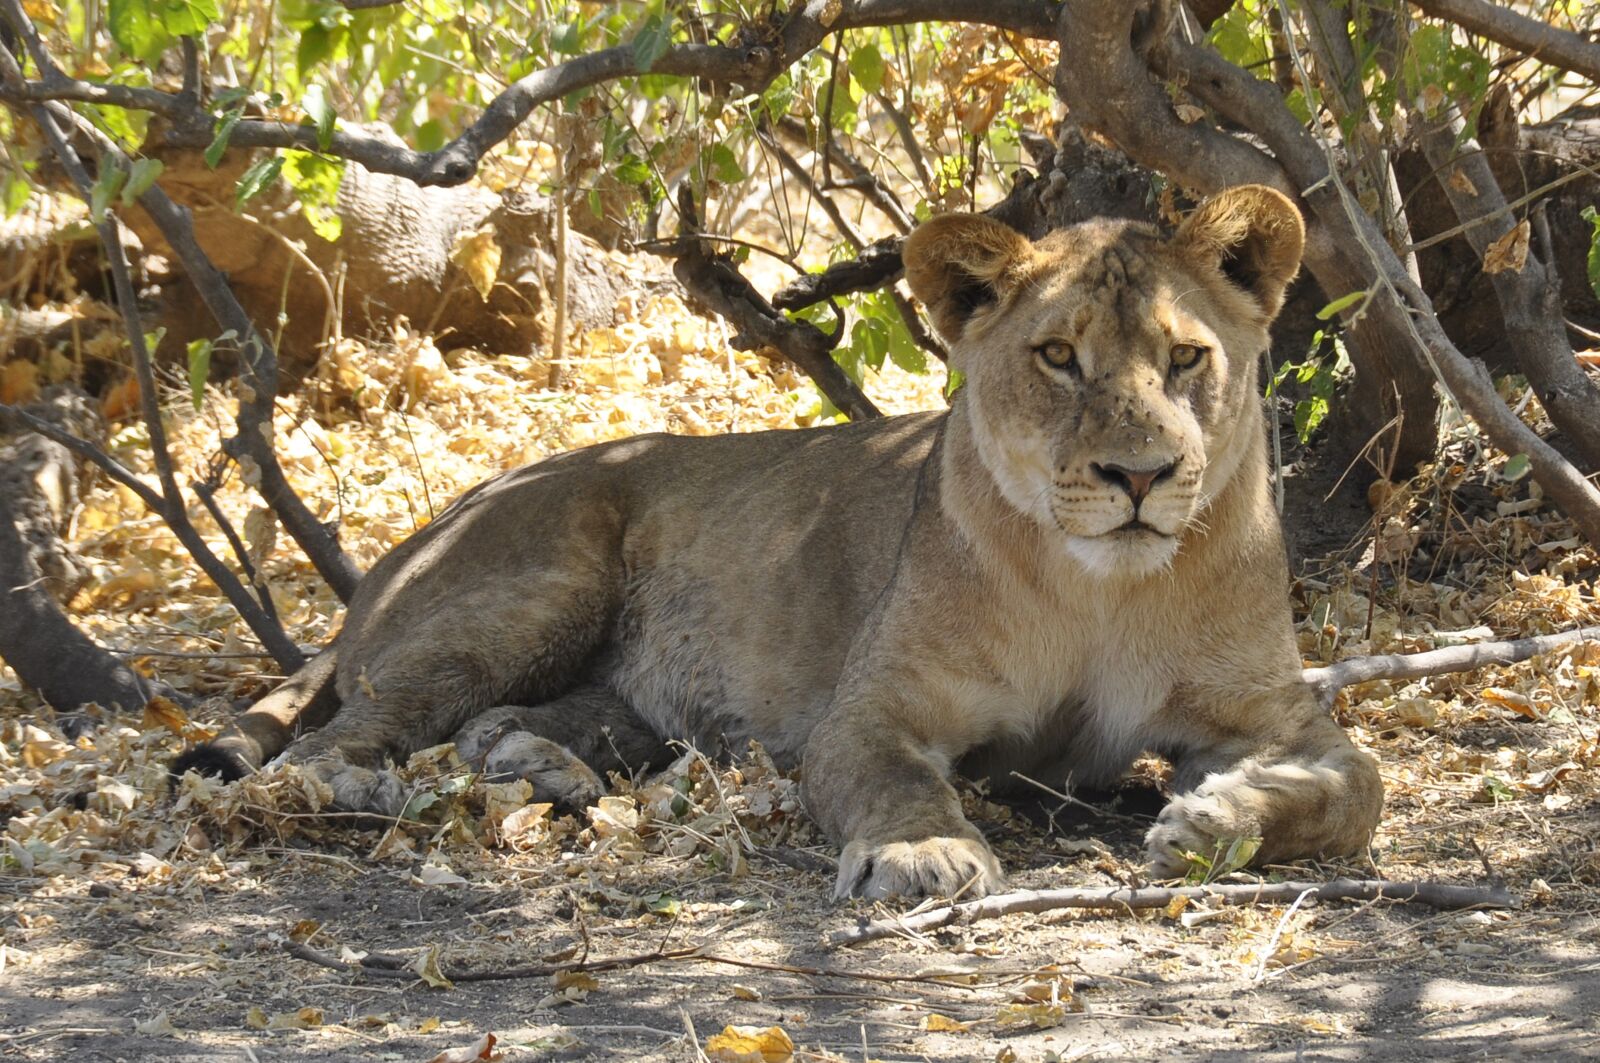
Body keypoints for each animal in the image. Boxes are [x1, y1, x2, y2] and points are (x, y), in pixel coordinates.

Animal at [175, 185, 1383, 899]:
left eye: (1184, 358)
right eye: (1057, 357)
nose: (1140, 476)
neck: (1102, 590)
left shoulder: (1273, 713)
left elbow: (1359, 789)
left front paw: (1219, 818)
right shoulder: (871, 712)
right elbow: (894, 782)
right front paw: (924, 851)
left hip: (612, 680)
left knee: (499, 726)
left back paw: (542, 771)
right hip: (539, 583)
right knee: (322, 752)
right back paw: (401, 795)